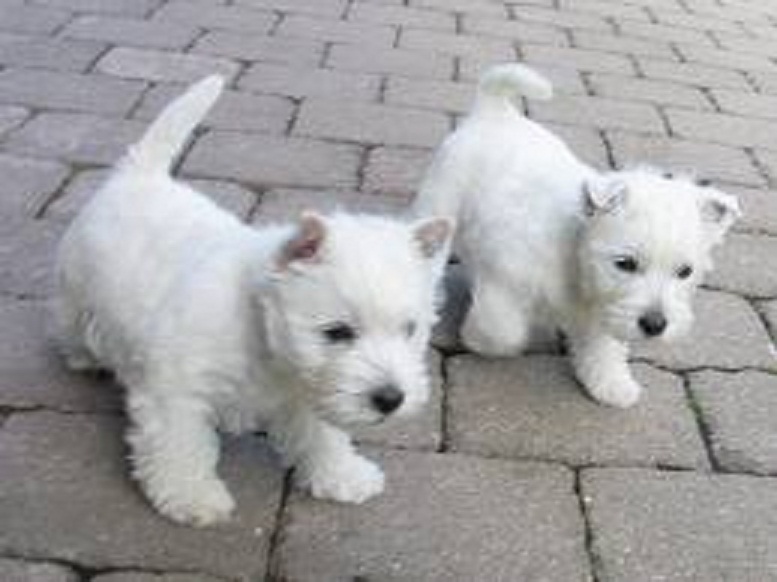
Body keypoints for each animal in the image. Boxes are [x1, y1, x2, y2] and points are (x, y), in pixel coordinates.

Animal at [54, 75, 452, 528]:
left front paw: (343, 475)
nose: (390, 400)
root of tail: (139, 174)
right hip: (76, 290)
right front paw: (192, 497)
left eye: (410, 329)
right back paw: (83, 357)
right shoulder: (174, 393)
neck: (259, 329)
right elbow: (181, 446)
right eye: (337, 332)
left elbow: (324, 434)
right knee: (71, 325)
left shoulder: (307, 392)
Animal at [418, 62, 740, 410]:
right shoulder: (505, 277)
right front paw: (478, 340)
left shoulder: (605, 311)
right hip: (439, 198)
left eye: (685, 272)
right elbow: (503, 329)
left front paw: (612, 384)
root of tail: (495, 110)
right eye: (625, 263)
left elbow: (604, 348)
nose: (655, 326)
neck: (575, 255)